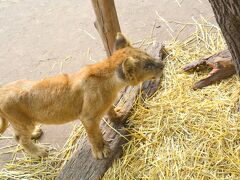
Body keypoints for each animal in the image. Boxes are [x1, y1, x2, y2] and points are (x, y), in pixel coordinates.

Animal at [0, 33, 164, 159]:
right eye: (148, 66)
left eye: (148, 55)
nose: (162, 64)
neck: (110, 78)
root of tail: (2, 90)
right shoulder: (88, 117)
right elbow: (94, 135)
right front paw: (100, 151)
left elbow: (110, 109)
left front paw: (117, 115)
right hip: (21, 120)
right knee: (20, 138)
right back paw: (38, 152)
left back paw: (35, 133)